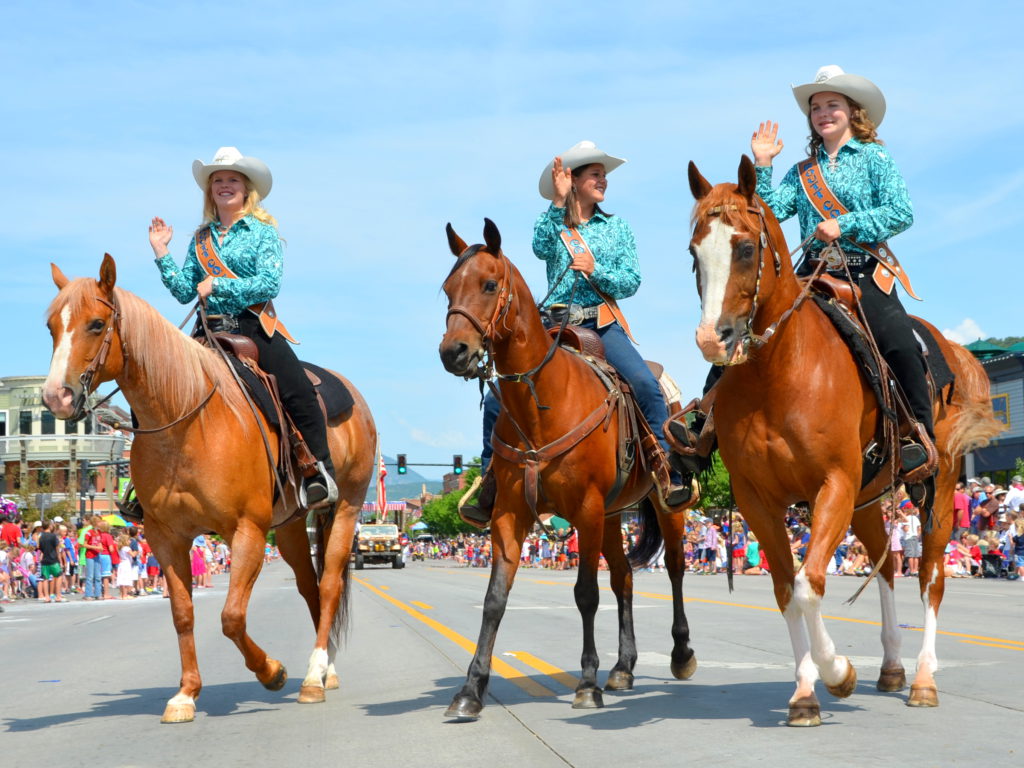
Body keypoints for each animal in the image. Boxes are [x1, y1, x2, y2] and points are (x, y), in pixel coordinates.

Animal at [41, 256, 376, 724]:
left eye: (95, 323)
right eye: (52, 326)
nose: (56, 397)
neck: (186, 420)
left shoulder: (247, 531)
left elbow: (231, 616)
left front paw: (271, 672)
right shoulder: (166, 536)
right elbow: (183, 614)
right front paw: (186, 694)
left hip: (346, 506)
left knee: (328, 585)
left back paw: (311, 678)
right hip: (290, 526)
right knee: (309, 587)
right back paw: (324, 669)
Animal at [436, 219, 700, 720]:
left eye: (490, 284)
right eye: (447, 289)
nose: (453, 352)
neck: (543, 402)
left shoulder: (587, 510)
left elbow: (585, 594)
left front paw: (586, 684)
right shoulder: (510, 514)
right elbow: (494, 599)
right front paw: (470, 691)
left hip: (661, 506)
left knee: (674, 567)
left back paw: (680, 655)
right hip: (615, 515)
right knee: (624, 577)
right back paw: (624, 667)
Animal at [684, 157, 1003, 729]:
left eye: (744, 248)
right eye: (693, 252)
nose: (710, 339)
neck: (776, 372)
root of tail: (959, 354)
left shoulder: (832, 483)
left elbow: (811, 583)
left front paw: (838, 673)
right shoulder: (759, 500)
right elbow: (786, 590)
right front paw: (804, 694)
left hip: (940, 487)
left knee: (930, 576)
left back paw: (922, 679)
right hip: (868, 499)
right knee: (888, 567)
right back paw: (893, 667)